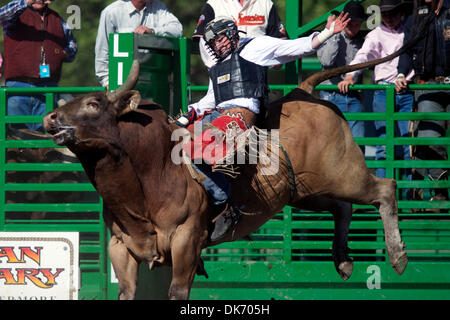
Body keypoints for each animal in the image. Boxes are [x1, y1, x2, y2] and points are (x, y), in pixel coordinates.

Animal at [44, 45, 414, 300]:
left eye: (93, 104)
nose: (50, 119)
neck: (154, 170)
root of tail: (304, 91)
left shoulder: (187, 240)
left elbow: (178, 291)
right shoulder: (121, 247)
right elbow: (127, 292)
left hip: (344, 175)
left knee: (384, 188)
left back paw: (398, 258)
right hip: (305, 191)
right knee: (343, 207)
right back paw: (343, 261)